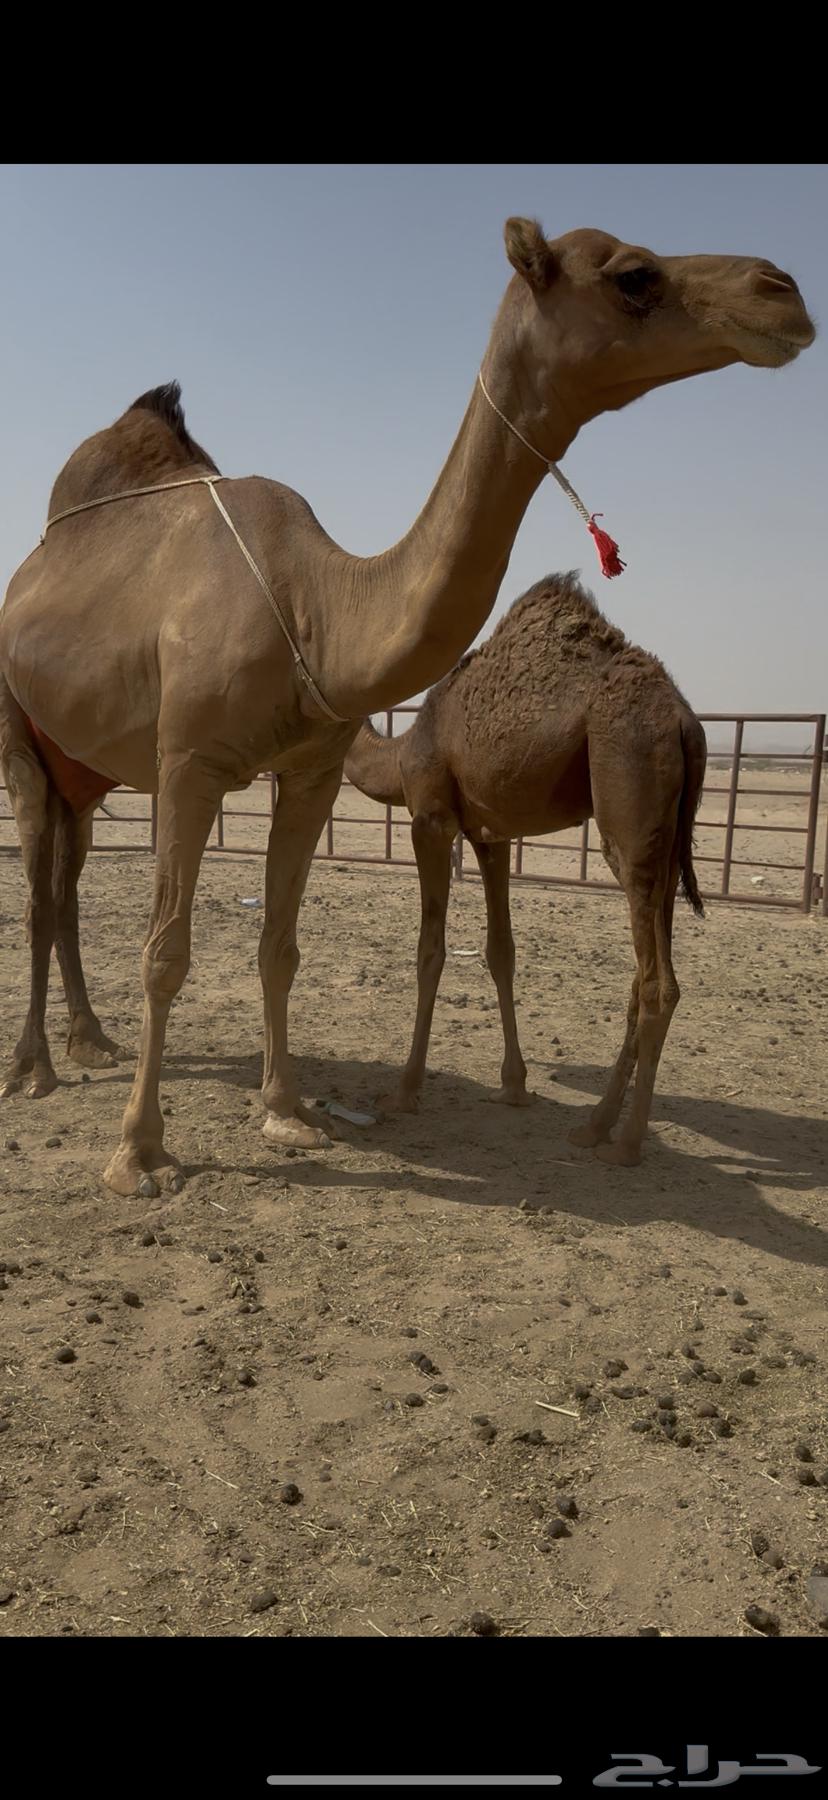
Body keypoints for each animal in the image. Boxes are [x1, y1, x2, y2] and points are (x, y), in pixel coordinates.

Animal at [344, 572, 706, 1165]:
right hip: (670, 842)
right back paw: (593, 1126)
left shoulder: (431, 817)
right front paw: (514, 1085)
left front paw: (404, 1090)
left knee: (659, 984)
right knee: (645, 969)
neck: (400, 754)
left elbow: (430, 951)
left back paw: (626, 1142)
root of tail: (684, 723)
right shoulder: (489, 835)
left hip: (629, 802)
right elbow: (501, 952)